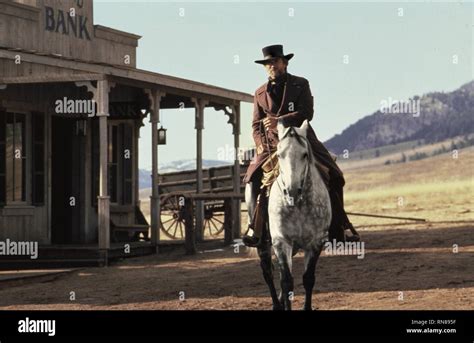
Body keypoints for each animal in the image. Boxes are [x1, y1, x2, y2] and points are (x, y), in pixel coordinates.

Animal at [246, 120, 332, 312]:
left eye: (305, 154)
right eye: (279, 155)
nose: (291, 191)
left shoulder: (316, 243)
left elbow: (308, 279)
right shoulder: (281, 241)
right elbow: (286, 281)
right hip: (263, 243)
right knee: (268, 271)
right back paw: (276, 304)